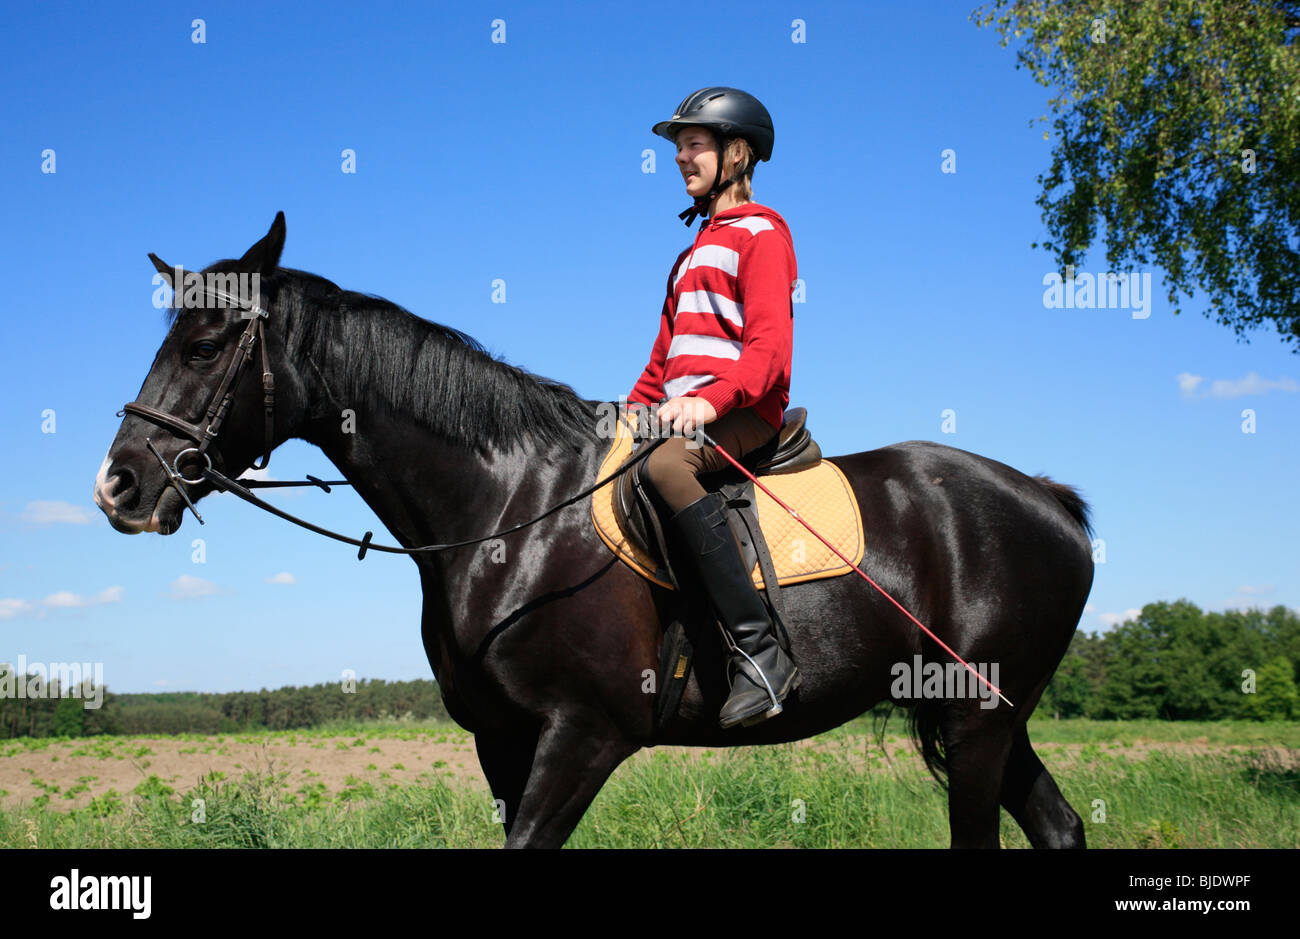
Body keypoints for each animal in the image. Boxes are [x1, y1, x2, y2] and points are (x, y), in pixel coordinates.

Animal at [93, 213, 1095, 848]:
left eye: (205, 345)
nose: (120, 484)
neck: (505, 511)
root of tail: (1049, 500)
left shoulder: (583, 734)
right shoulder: (503, 742)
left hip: (977, 721)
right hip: (990, 718)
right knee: (1061, 825)